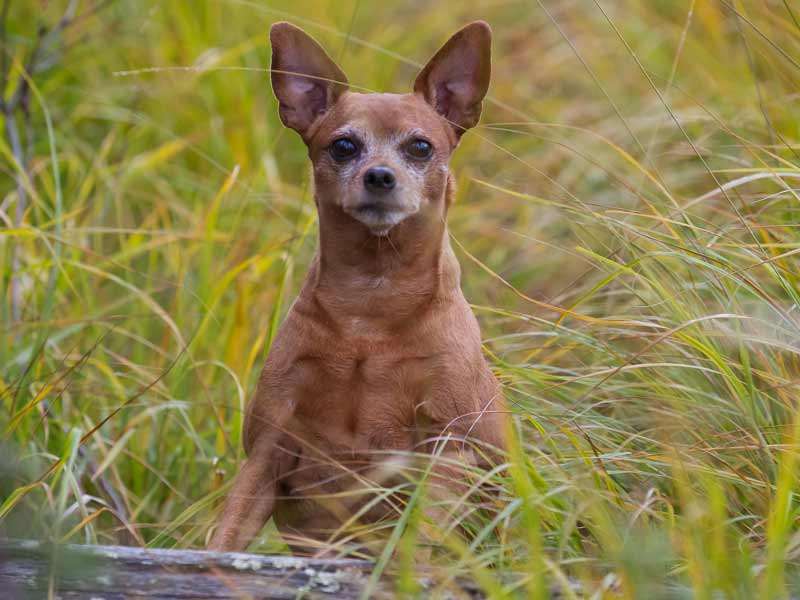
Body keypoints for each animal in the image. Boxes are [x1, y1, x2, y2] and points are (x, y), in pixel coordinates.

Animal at [206, 18, 506, 556]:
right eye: (343, 145)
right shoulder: (267, 452)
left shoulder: (444, 452)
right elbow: (225, 539)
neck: (371, 306)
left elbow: (423, 545)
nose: (379, 176)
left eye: (420, 146)